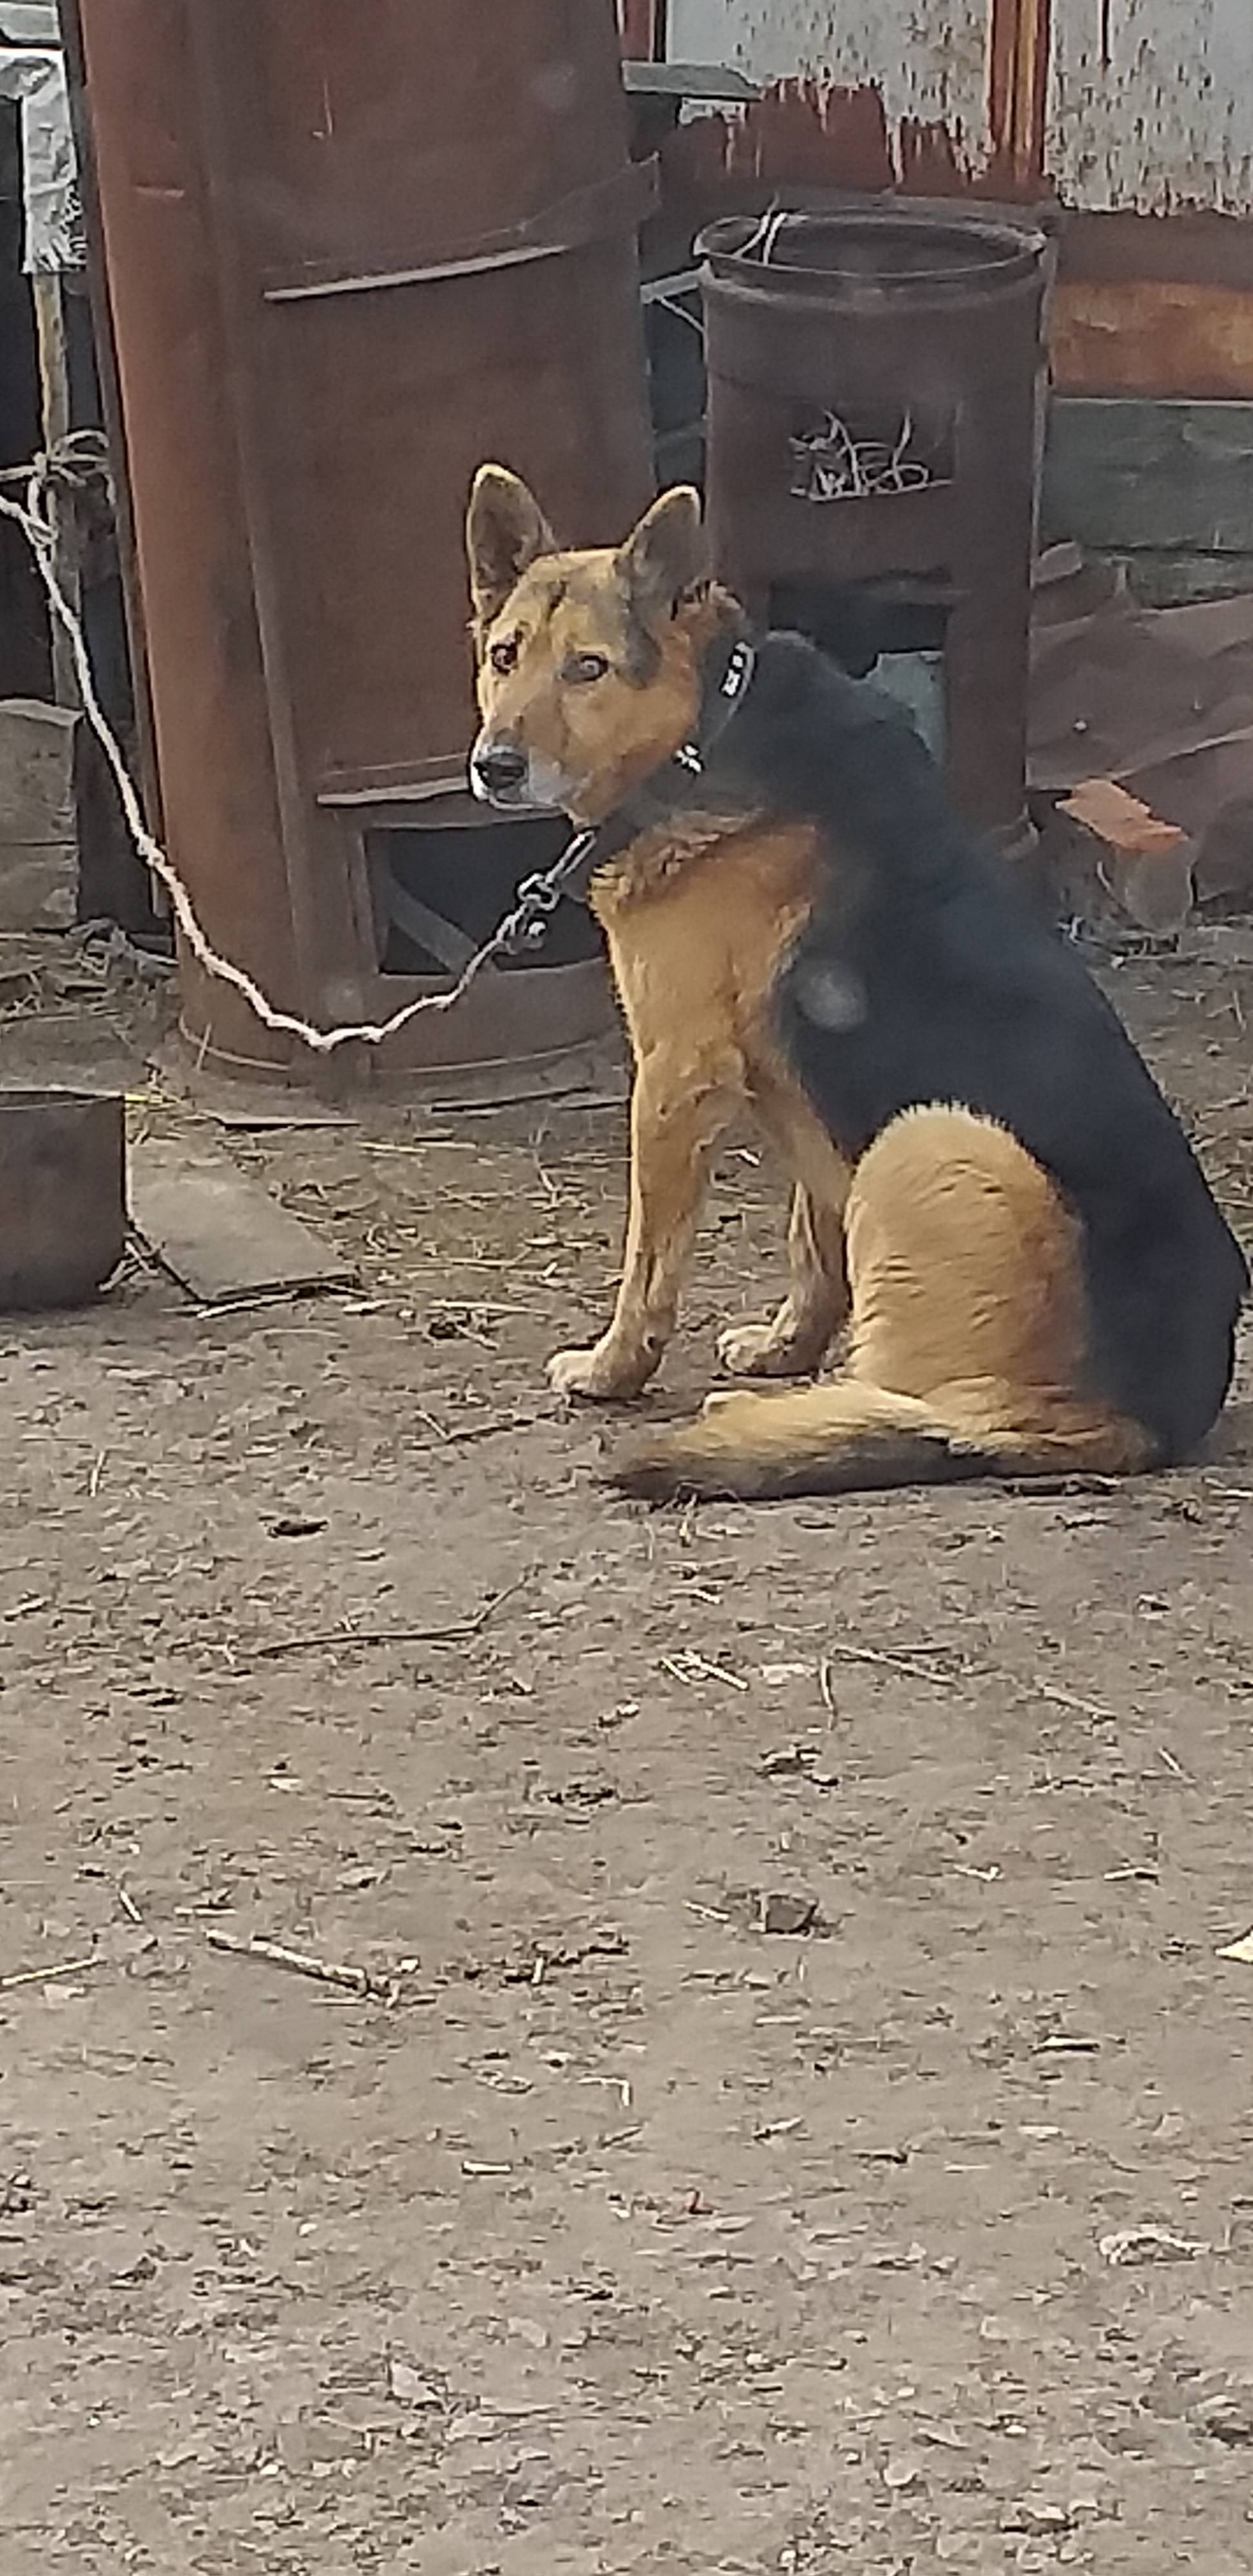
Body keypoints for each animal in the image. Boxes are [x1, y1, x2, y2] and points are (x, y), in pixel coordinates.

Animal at [464, 474, 1247, 1504]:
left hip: (932, 1136)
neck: (702, 736)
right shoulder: (793, 1096)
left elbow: (648, 1262)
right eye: (504, 657)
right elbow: (816, 1243)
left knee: (932, 1405)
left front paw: (612, 1370)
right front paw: (785, 1349)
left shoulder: (674, 1077)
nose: (494, 767)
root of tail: (1142, 1418)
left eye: (587, 669)